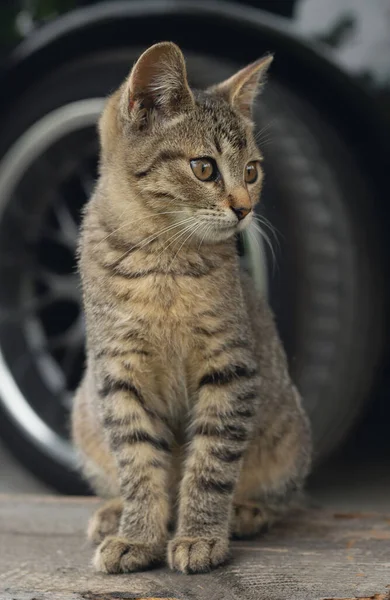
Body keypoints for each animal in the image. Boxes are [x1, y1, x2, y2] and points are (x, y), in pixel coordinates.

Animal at [72, 39, 310, 576]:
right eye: (204, 168)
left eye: (251, 171)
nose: (244, 207)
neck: (163, 259)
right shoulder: (118, 374)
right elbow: (139, 463)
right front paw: (137, 535)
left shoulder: (232, 369)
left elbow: (210, 462)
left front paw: (200, 535)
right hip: (83, 409)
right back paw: (114, 513)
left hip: (289, 432)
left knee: (285, 497)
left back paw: (245, 512)